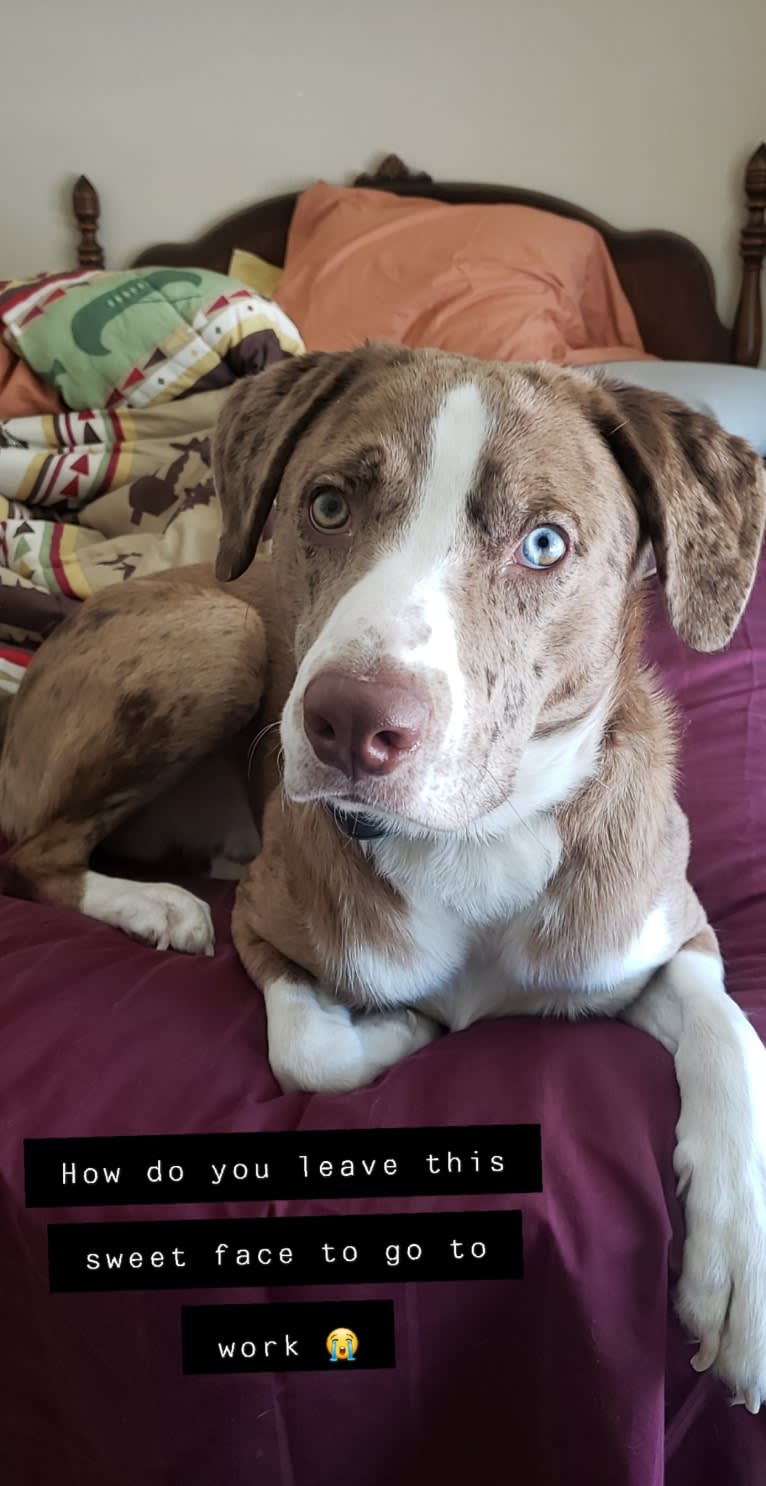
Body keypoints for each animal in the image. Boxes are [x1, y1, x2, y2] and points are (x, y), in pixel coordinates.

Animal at [1, 344, 766, 1402]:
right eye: (327, 506)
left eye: (544, 544)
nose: (350, 723)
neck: (474, 837)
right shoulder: (264, 921)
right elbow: (310, 1054)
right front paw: (406, 1029)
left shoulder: (659, 933)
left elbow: (731, 1033)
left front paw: (737, 1265)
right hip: (223, 633)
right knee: (34, 854)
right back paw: (158, 907)